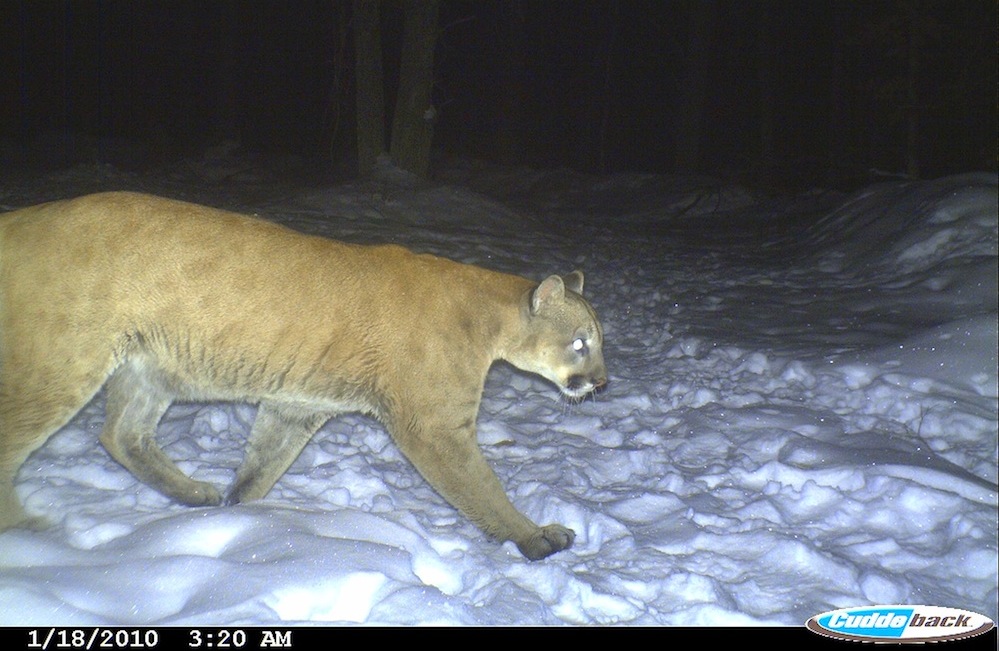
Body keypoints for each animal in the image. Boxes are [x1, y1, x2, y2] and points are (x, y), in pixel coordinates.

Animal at [0, 192, 604, 560]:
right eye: (581, 342)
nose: (602, 382)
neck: (488, 315)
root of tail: (23, 215)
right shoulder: (435, 427)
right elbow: (483, 488)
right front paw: (535, 537)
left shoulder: (297, 405)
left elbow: (261, 469)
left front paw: (236, 517)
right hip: (62, 362)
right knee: (17, 440)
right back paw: (29, 530)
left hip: (152, 367)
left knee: (120, 433)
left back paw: (194, 494)